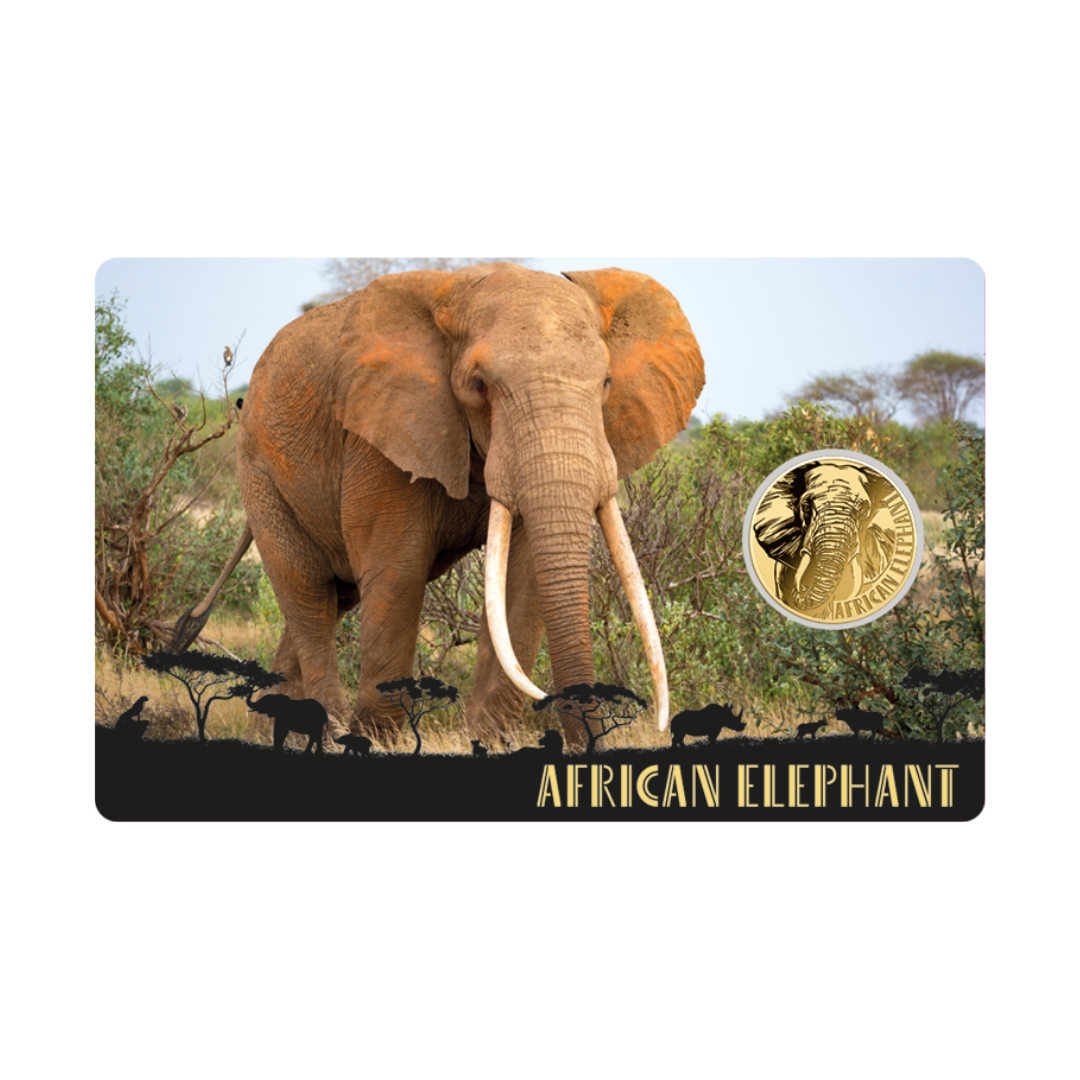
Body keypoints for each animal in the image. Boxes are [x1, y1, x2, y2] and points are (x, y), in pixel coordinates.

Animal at [176, 263, 704, 751]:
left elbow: (523, 579)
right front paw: (378, 739)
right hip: (260, 473)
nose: (586, 745)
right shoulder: (381, 433)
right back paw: (331, 731)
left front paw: (490, 741)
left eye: (607, 382)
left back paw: (272, 724)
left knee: (333, 598)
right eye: (479, 384)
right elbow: (398, 569)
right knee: (306, 592)